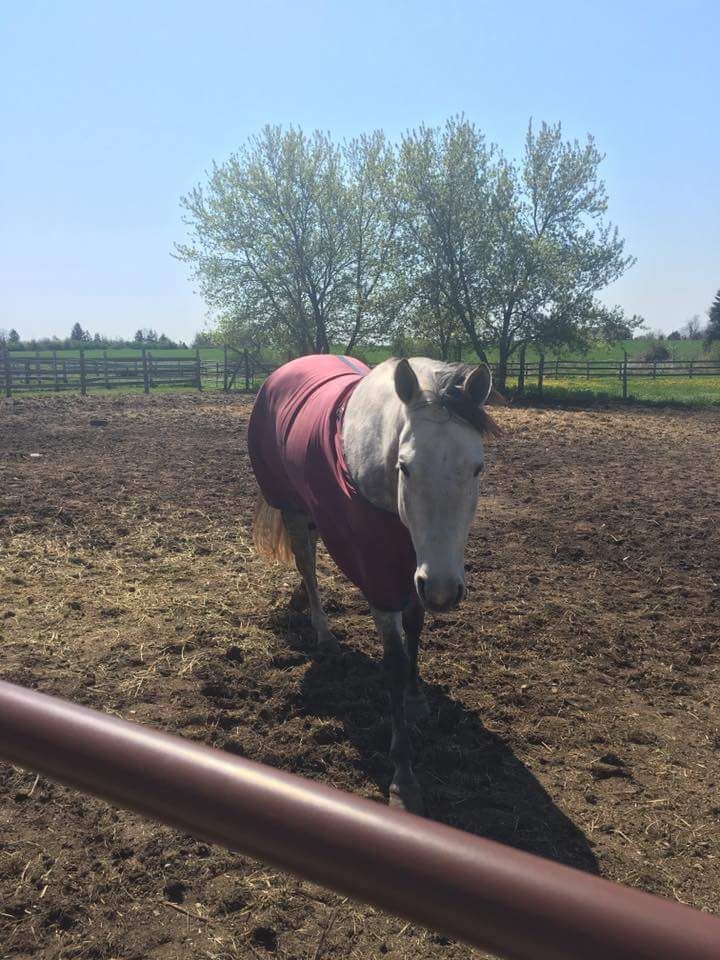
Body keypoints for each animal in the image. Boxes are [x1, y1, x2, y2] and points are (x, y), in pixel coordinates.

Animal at [248, 354, 500, 813]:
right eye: (406, 467)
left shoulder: (413, 567)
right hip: (291, 505)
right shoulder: (379, 576)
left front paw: (418, 698)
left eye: (478, 467)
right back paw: (323, 632)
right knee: (307, 563)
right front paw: (404, 778)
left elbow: (416, 630)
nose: (443, 590)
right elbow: (395, 663)